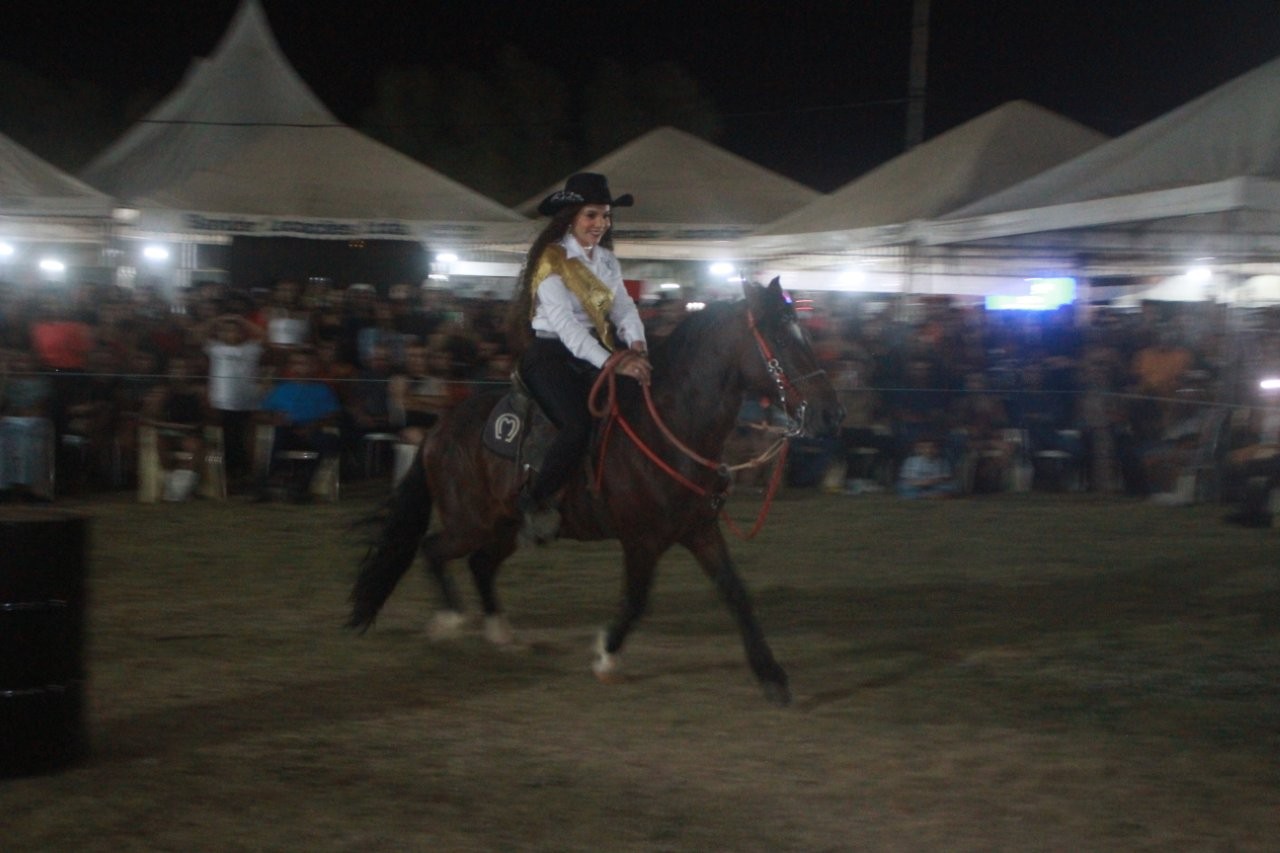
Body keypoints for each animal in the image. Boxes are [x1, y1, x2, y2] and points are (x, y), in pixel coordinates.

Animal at [347, 278, 843, 704]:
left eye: (804, 332)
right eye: (782, 340)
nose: (831, 414)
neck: (669, 427)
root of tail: (438, 429)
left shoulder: (699, 531)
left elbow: (736, 593)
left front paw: (772, 677)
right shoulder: (642, 540)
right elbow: (637, 601)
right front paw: (606, 654)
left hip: (504, 526)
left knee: (480, 565)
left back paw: (502, 634)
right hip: (471, 521)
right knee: (433, 549)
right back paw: (449, 622)